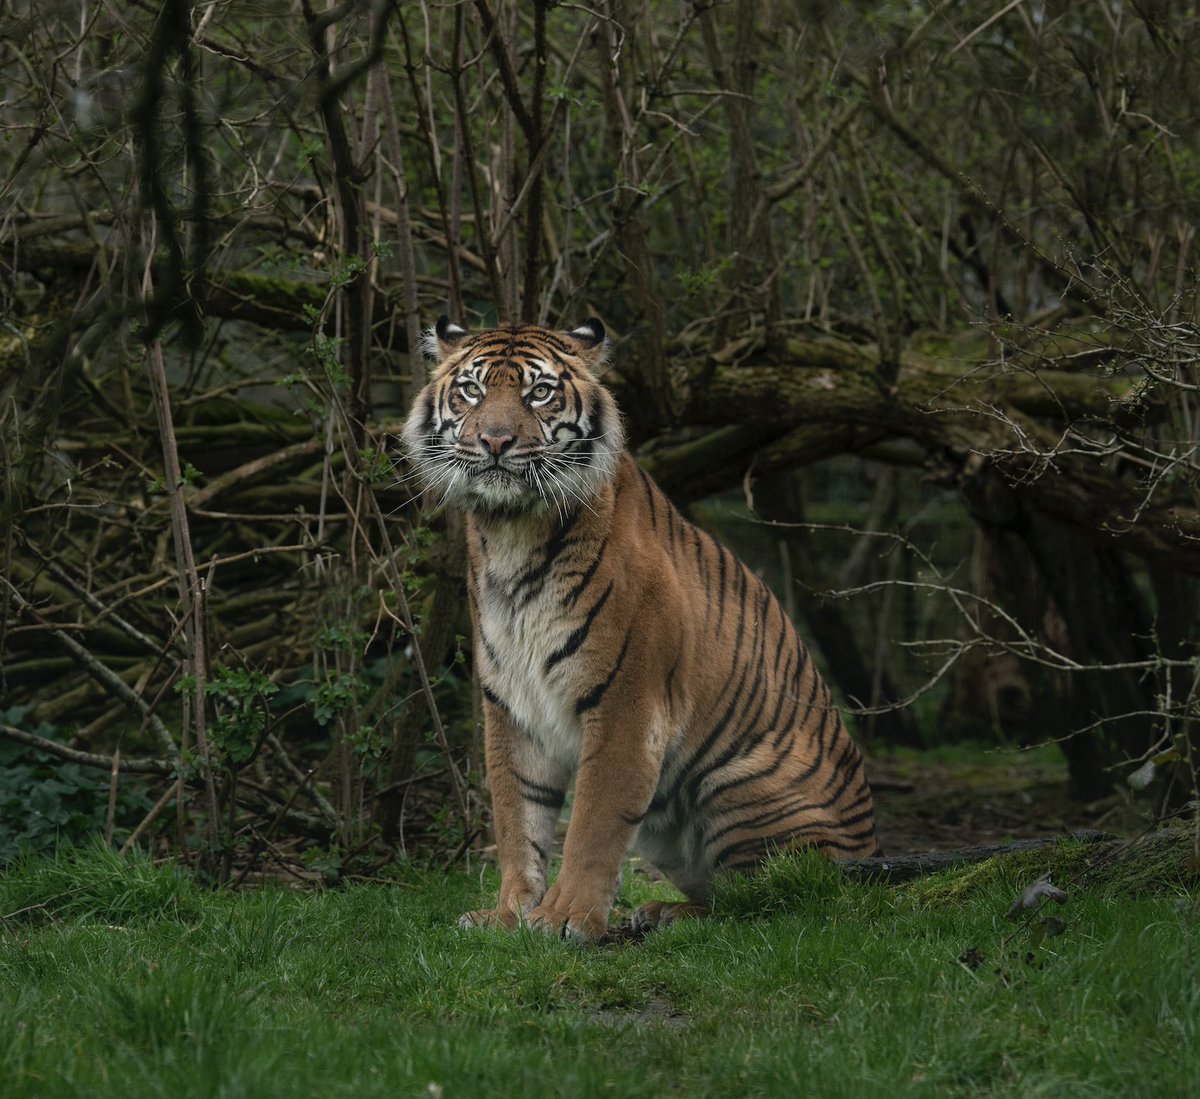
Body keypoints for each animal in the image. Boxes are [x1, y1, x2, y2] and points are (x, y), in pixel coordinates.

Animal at [402, 316, 879, 941]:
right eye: (472, 391)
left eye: (539, 393)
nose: (495, 441)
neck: (512, 533)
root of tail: (870, 858)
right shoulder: (511, 705)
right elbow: (517, 817)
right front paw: (509, 915)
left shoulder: (629, 701)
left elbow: (594, 822)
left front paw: (565, 918)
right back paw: (656, 911)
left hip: (734, 780)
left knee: (776, 897)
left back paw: (671, 915)